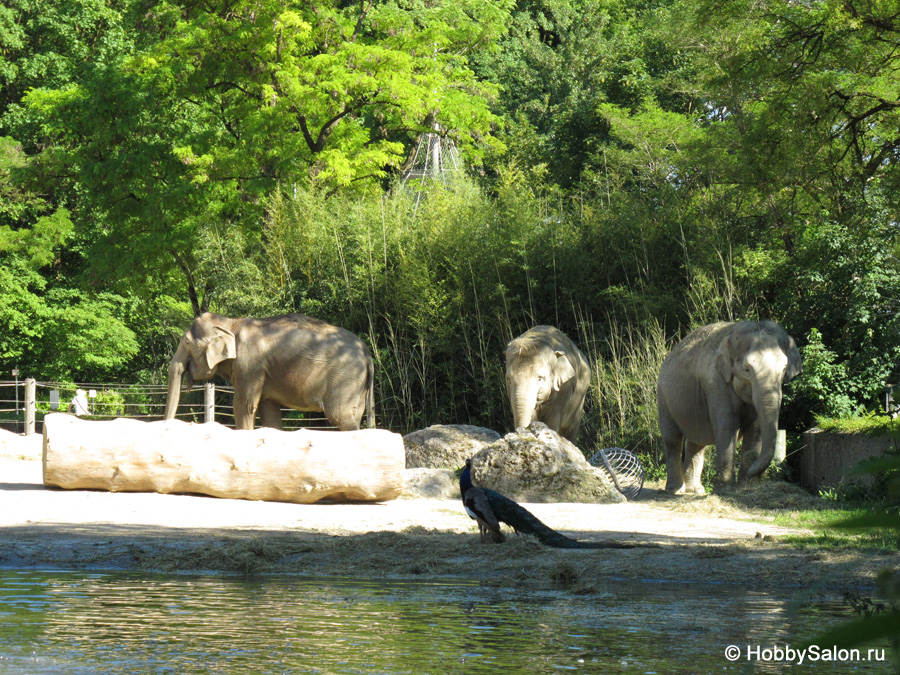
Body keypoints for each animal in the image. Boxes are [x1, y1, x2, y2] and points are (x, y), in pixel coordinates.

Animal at [163, 312, 374, 430]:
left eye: (186, 342)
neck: (231, 322)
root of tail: (367, 352)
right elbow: (269, 412)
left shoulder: (249, 363)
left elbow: (244, 405)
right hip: (357, 385)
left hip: (344, 378)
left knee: (341, 416)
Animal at [652, 320, 800, 494]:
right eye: (747, 370)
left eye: (784, 369)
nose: (752, 475)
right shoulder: (716, 383)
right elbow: (727, 425)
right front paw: (725, 490)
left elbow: (755, 428)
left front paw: (745, 486)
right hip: (663, 398)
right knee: (672, 440)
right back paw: (675, 490)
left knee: (697, 442)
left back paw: (695, 490)